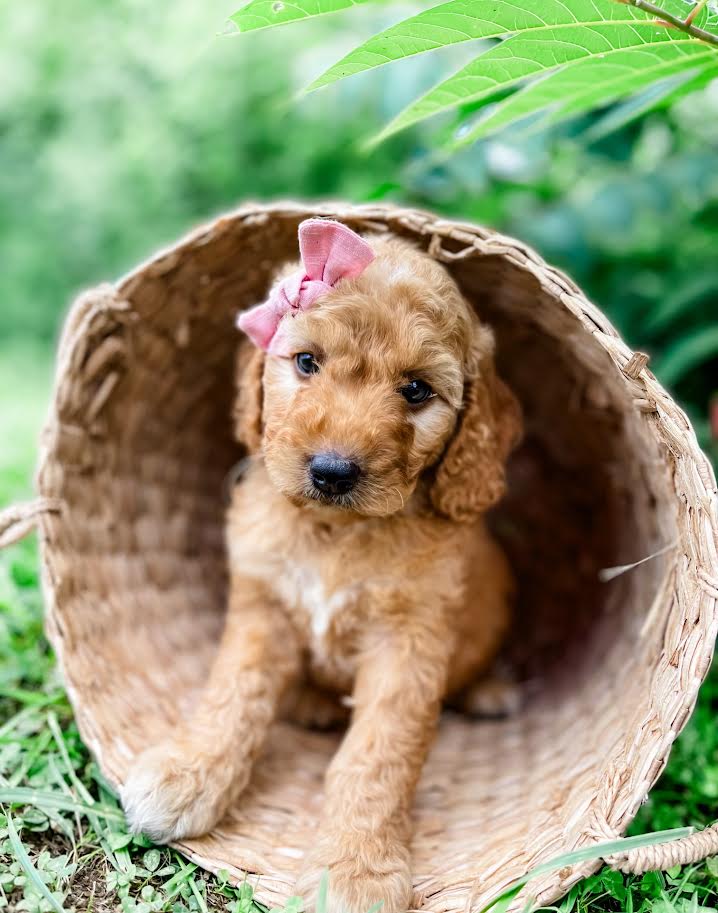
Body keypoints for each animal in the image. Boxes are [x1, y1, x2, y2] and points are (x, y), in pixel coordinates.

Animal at [122, 219, 524, 912]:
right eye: (307, 362)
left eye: (416, 390)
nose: (333, 471)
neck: (337, 533)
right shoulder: (261, 604)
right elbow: (231, 693)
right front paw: (188, 773)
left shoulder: (409, 641)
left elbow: (378, 754)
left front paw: (354, 869)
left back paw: (490, 691)